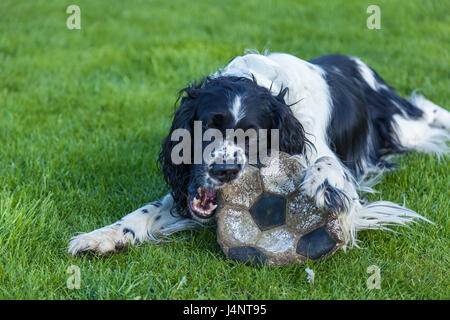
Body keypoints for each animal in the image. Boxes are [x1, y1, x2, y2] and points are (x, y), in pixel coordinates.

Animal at [67, 52, 450, 255]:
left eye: (252, 135)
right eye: (207, 127)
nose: (223, 171)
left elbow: (330, 169)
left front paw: (326, 187)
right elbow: (145, 211)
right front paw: (101, 236)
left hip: (404, 125)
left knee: (427, 110)